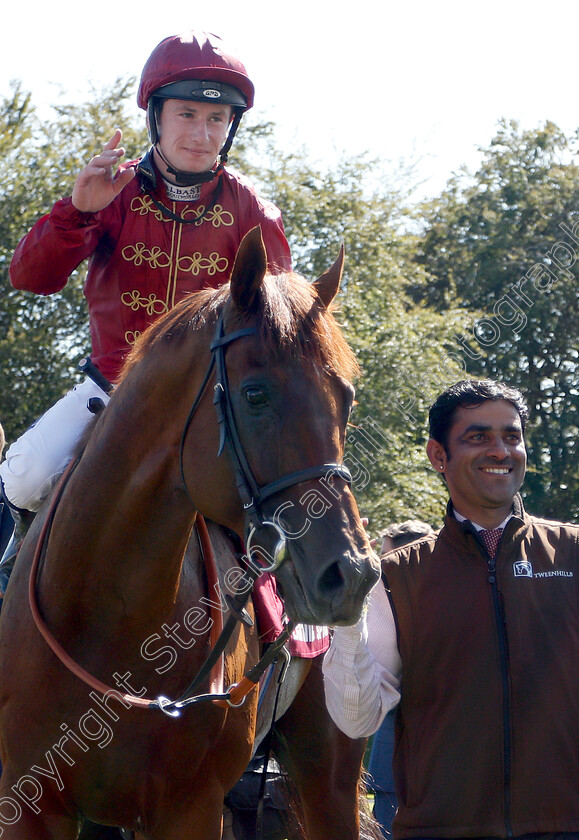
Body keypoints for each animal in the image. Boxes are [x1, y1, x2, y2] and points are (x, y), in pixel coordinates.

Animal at [0, 230, 378, 840]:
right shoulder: (28, 803)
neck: (107, 611)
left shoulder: (191, 808)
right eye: (255, 394)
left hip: (329, 777)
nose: (351, 574)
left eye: (344, 398)